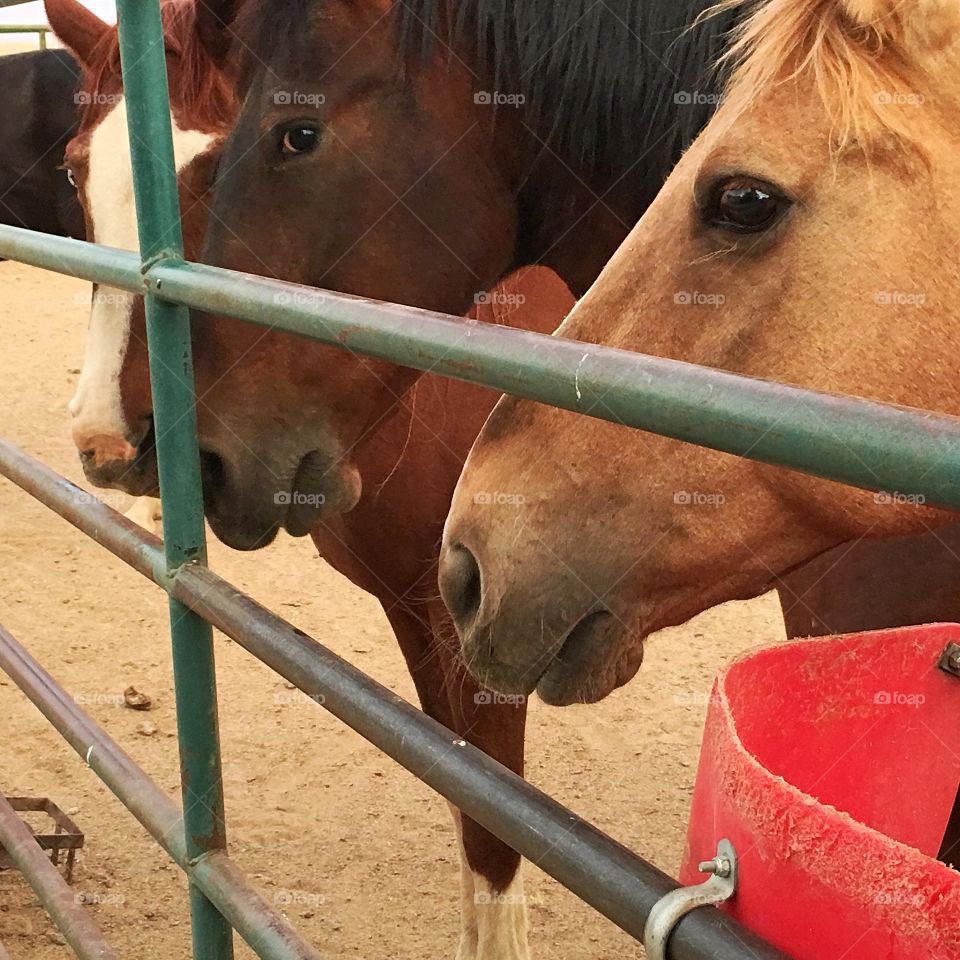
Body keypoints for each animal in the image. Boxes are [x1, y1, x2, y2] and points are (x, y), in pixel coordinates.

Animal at [48, 3, 572, 956]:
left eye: (219, 166)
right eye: (75, 171)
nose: (104, 442)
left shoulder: (492, 634)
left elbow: (495, 835)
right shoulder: (413, 606)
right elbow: (467, 807)